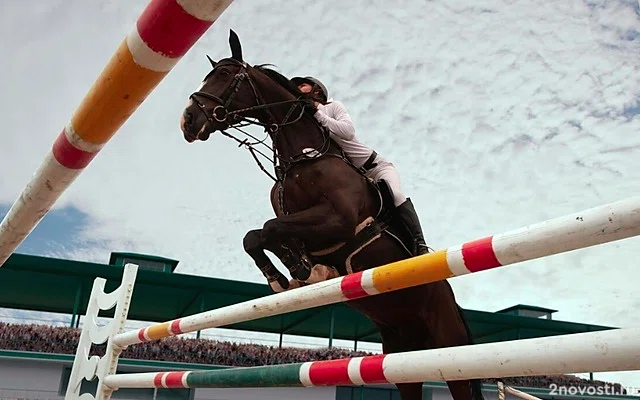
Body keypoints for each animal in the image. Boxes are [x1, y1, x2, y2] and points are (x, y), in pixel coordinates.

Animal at [179, 28, 484, 400]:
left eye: (224, 74)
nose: (188, 120)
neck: (303, 157)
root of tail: (453, 302)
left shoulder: (339, 220)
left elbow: (270, 228)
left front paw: (300, 270)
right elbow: (258, 235)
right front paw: (289, 273)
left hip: (450, 355)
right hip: (401, 356)